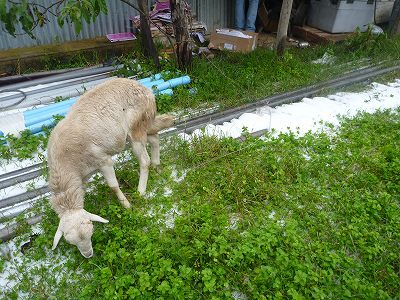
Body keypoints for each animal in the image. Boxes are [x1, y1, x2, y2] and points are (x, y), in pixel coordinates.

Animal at [46, 78, 173, 258]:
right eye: (71, 242)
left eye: (91, 233)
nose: (88, 255)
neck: (67, 164)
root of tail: (145, 89)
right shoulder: (82, 176)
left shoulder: (103, 161)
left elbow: (113, 186)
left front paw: (126, 205)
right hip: (142, 126)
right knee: (155, 139)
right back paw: (158, 168)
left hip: (135, 128)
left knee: (144, 160)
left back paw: (140, 191)